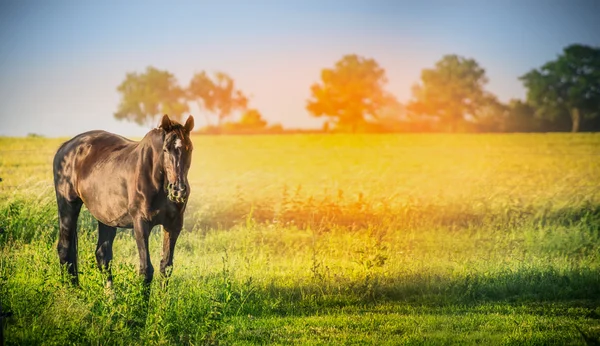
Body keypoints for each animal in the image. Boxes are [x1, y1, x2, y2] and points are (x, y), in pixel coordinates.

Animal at [52, 115, 195, 286]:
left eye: (189, 149)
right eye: (165, 149)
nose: (178, 190)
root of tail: (66, 147)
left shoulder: (173, 225)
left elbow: (166, 267)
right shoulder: (141, 223)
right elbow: (146, 270)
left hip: (106, 216)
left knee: (103, 255)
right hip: (68, 206)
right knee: (65, 249)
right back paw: (73, 290)